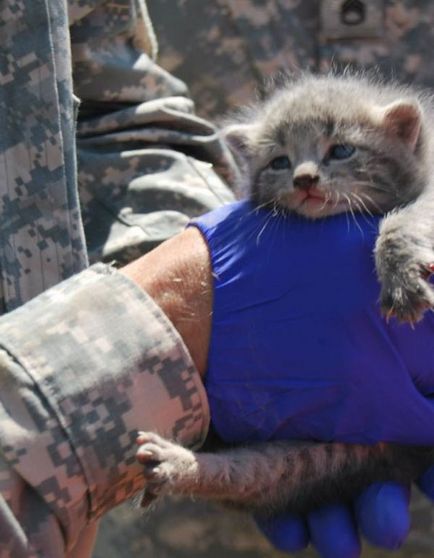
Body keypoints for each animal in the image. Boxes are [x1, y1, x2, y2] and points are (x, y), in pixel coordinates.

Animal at [136, 73, 434, 520]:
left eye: (340, 150)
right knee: (247, 476)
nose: (304, 179)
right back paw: (177, 465)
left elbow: (409, 215)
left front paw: (401, 271)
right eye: (280, 161)